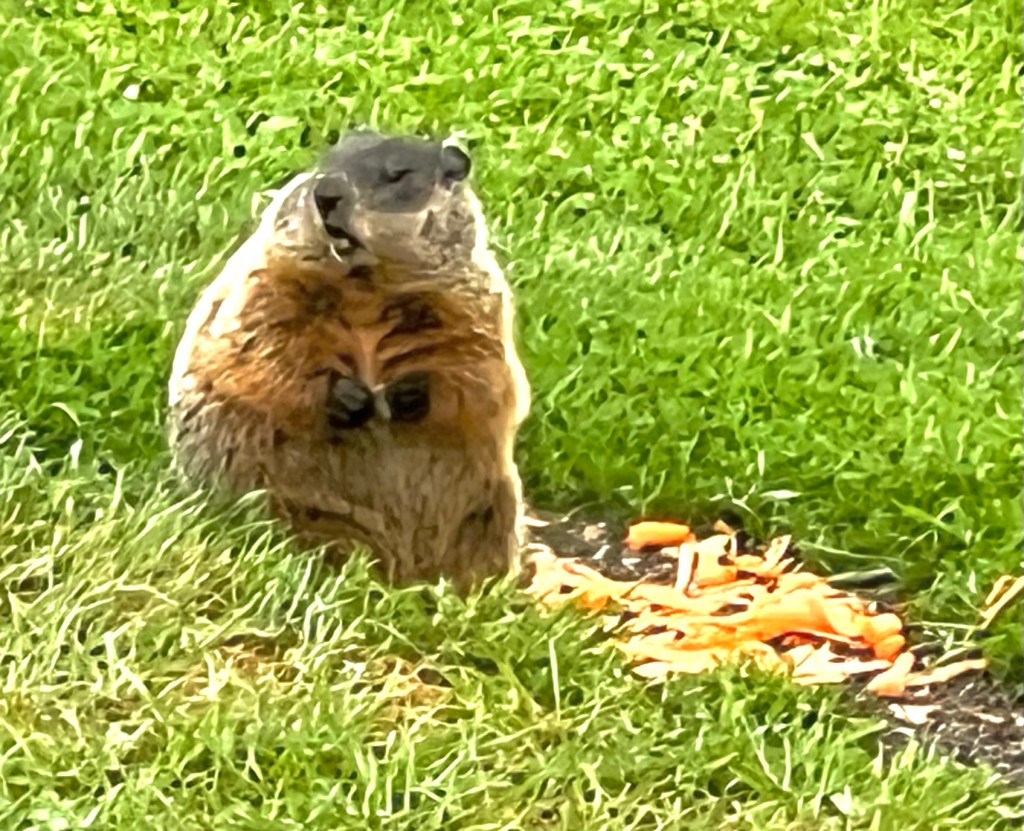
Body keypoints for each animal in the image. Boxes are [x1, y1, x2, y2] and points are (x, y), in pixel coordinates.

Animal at [168, 131, 531, 590]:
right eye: (323, 163)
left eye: (398, 174)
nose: (326, 193)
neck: (367, 287)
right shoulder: (266, 278)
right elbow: (257, 342)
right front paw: (343, 395)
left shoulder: (473, 304)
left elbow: (487, 373)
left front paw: (412, 393)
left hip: (494, 511)